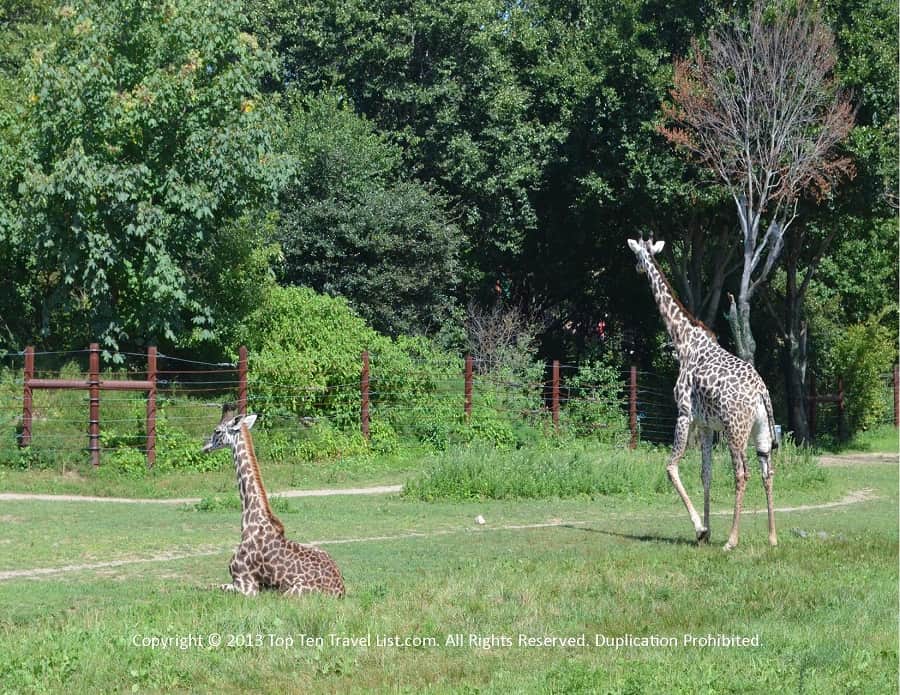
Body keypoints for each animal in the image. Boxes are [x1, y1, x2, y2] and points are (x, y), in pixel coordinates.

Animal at [202, 404, 345, 596]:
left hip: (291, 593)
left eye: (217, 431)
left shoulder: (246, 586)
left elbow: (202, 586)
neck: (250, 521)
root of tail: (341, 590)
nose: (204, 447)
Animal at [627, 238, 778, 550]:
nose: (637, 268)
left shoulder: (685, 414)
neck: (682, 341)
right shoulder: (707, 425)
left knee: (741, 473)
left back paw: (732, 540)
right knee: (767, 472)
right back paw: (772, 537)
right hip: (760, 431)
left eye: (637, 254)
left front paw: (700, 528)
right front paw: (707, 530)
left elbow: (671, 466)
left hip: (736, 430)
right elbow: (705, 474)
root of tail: (761, 391)